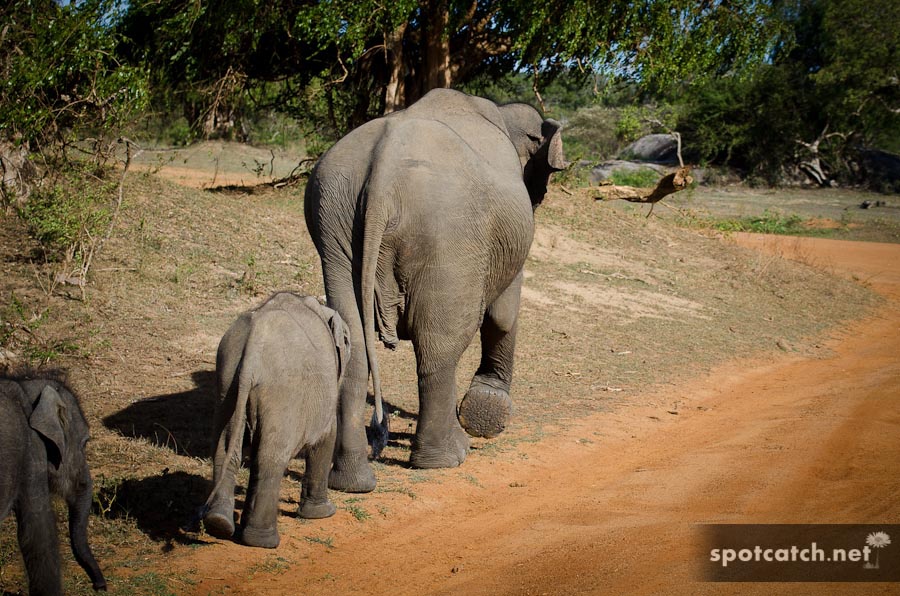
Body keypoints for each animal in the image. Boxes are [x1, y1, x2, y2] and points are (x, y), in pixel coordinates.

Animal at [204, 292, 352, 548]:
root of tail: (252, 348)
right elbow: (326, 436)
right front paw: (324, 513)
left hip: (227, 382)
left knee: (225, 452)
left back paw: (218, 524)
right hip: (283, 392)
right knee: (271, 458)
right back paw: (262, 541)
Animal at [306, 87, 568, 488]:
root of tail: (383, 172)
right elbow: (503, 313)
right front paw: (489, 416)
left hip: (334, 225)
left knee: (354, 348)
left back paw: (353, 482)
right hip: (449, 233)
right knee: (439, 349)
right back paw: (447, 458)